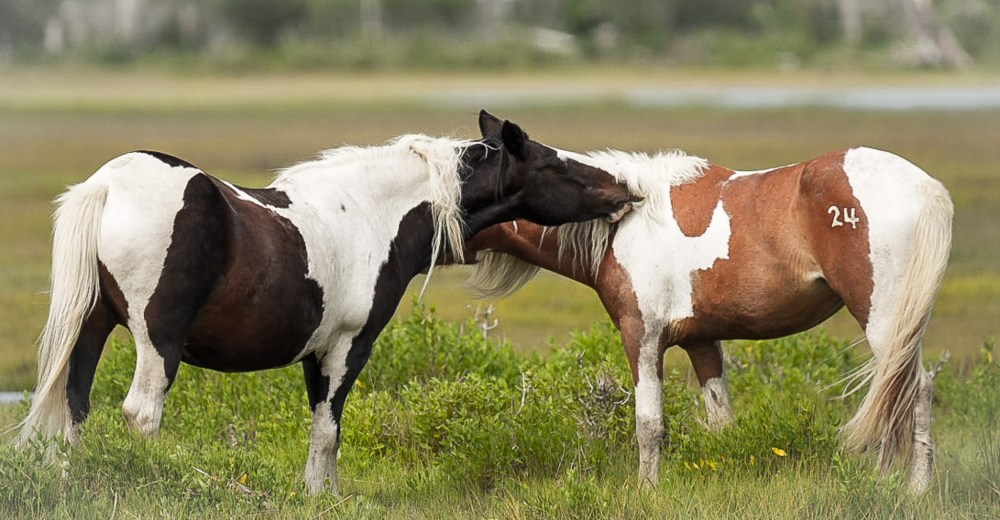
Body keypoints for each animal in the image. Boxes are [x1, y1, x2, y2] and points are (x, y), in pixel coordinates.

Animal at [15, 110, 639, 495]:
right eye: (555, 163)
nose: (626, 190)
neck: (370, 214)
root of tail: (108, 184)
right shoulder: (348, 347)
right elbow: (328, 427)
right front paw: (318, 493)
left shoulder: (316, 355)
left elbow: (325, 425)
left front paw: (326, 493)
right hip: (156, 340)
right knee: (141, 412)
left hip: (93, 327)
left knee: (73, 405)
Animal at [463, 146, 953, 493]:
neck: (625, 219)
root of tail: (928, 189)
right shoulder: (701, 342)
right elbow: (721, 423)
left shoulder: (641, 336)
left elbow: (649, 424)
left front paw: (647, 490)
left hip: (885, 323)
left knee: (909, 390)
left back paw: (913, 489)